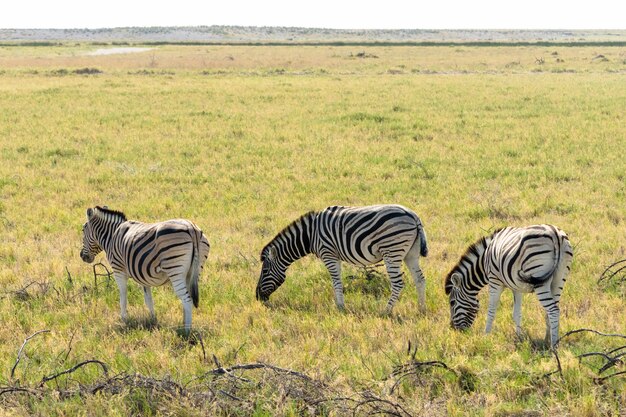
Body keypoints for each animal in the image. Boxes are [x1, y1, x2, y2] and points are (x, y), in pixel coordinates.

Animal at [80, 205, 210, 332]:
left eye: (83, 230)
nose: (82, 256)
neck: (112, 236)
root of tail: (191, 228)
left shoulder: (118, 270)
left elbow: (123, 297)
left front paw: (124, 320)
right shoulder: (142, 274)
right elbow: (148, 300)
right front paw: (153, 320)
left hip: (175, 270)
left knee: (187, 300)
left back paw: (186, 331)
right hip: (193, 272)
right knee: (188, 298)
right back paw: (183, 325)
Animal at [256, 205, 426, 312]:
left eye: (265, 271)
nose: (257, 297)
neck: (310, 235)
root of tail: (413, 216)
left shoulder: (329, 254)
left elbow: (336, 281)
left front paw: (340, 307)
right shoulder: (334, 255)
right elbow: (338, 281)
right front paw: (340, 305)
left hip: (392, 250)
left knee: (397, 283)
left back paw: (386, 311)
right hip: (410, 253)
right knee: (420, 279)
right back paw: (421, 309)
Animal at [444, 224, 572, 348]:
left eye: (452, 302)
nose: (453, 329)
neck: (484, 261)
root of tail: (555, 233)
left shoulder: (494, 281)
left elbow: (491, 310)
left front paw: (486, 336)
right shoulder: (517, 287)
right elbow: (517, 313)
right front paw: (519, 338)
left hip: (539, 278)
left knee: (553, 310)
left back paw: (554, 346)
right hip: (559, 278)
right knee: (550, 311)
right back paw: (547, 340)